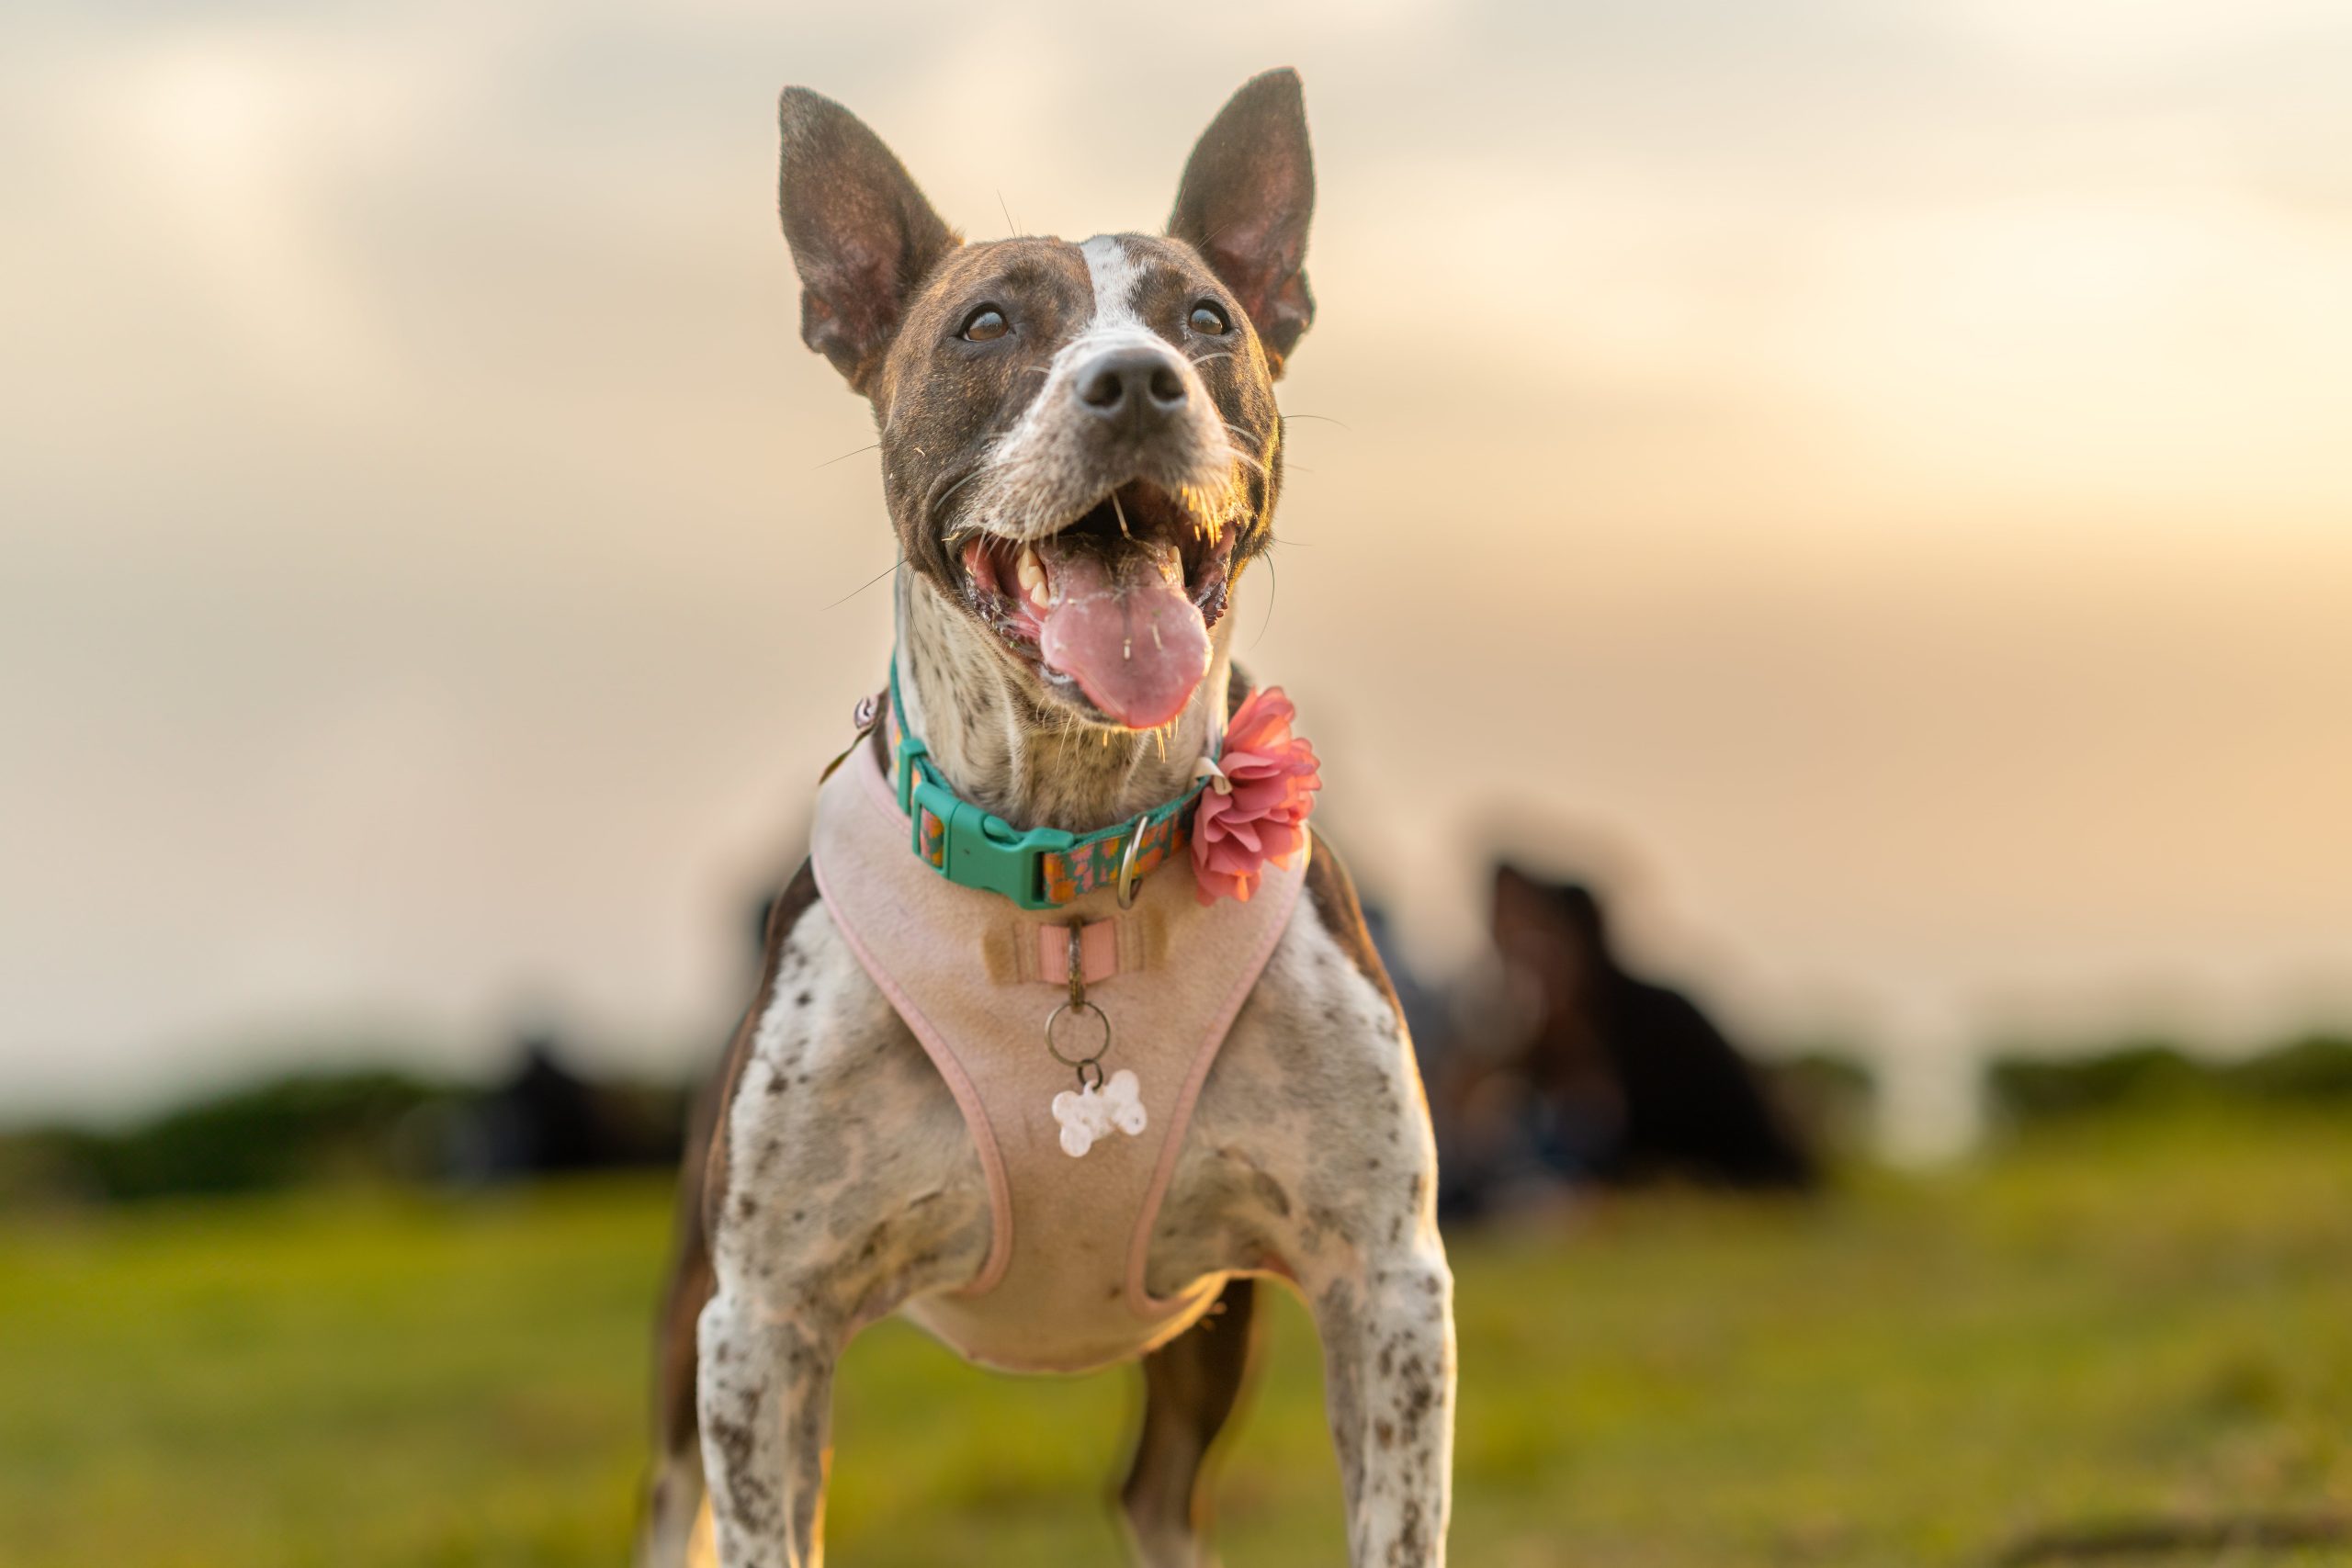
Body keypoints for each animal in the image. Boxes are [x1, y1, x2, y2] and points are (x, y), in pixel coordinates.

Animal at [639, 67, 1448, 1561]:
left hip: (1208, 1344)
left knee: (1156, 1496)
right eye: (986, 324)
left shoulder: (1385, 1281)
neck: (1073, 862)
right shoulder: (763, 1325)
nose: (1135, 383)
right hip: (684, 1346)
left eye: (1207, 319)